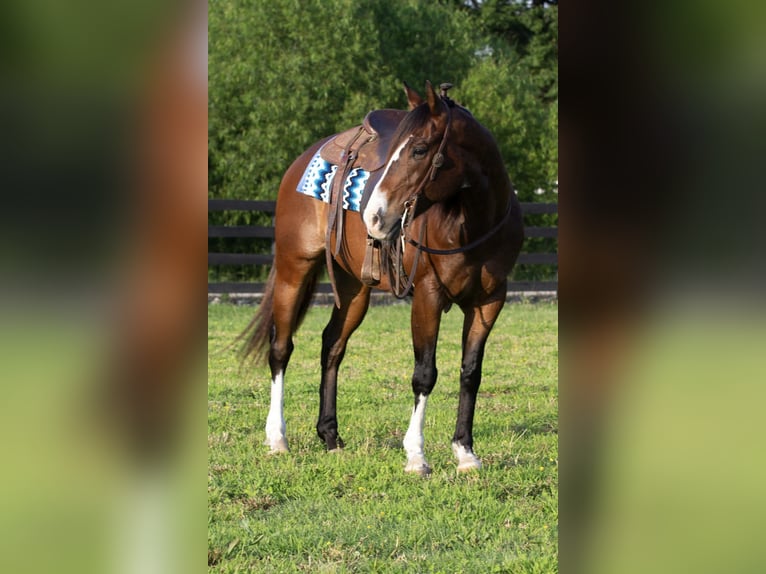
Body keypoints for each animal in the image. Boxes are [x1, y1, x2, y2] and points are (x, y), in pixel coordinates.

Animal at [240, 81, 524, 474]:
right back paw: (277, 438)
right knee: (281, 348)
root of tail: (305, 158)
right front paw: (416, 455)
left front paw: (465, 452)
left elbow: (471, 372)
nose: (374, 216)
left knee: (332, 346)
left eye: (419, 149)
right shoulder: (428, 295)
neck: (473, 224)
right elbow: (425, 373)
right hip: (292, 270)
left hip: (355, 288)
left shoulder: (490, 300)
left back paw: (330, 435)